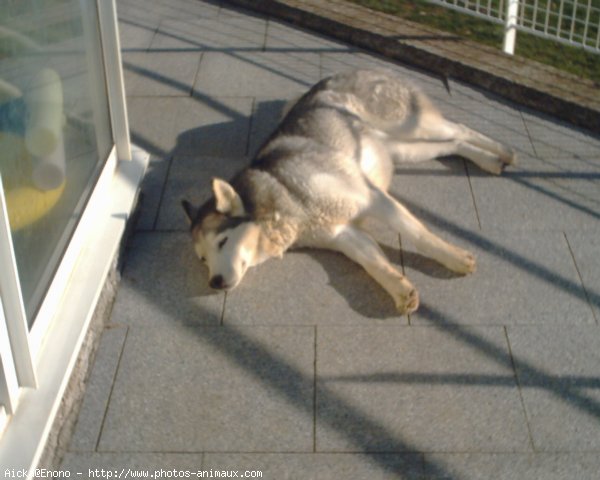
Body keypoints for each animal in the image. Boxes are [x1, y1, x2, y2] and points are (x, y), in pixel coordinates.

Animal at [183, 69, 516, 314]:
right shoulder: (343, 234)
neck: (286, 195)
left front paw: (454, 258)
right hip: (404, 149)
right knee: (453, 144)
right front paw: (400, 289)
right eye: (203, 259)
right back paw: (488, 160)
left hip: (413, 126)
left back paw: (504, 150)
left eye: (223, 241)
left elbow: (419, 235)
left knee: (460, 128)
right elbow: (373, 262)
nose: (214, 282)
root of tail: (351, 70)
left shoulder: (374, 199)